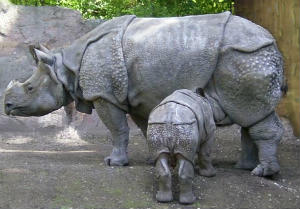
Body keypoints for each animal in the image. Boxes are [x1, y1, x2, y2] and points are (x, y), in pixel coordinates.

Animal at [5, 11, 286, 176]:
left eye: (29, 88)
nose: (7, 106)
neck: (65, 67)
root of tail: (273, 43)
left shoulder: (104, 93)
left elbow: (118, 129)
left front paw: (113, 163)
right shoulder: (139, 94)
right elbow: (143, 126)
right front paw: (153, 160)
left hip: (245, 57)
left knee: (252, 114)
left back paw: (262, 172)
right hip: (248, 57)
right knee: (249, 115)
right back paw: (245, 167)